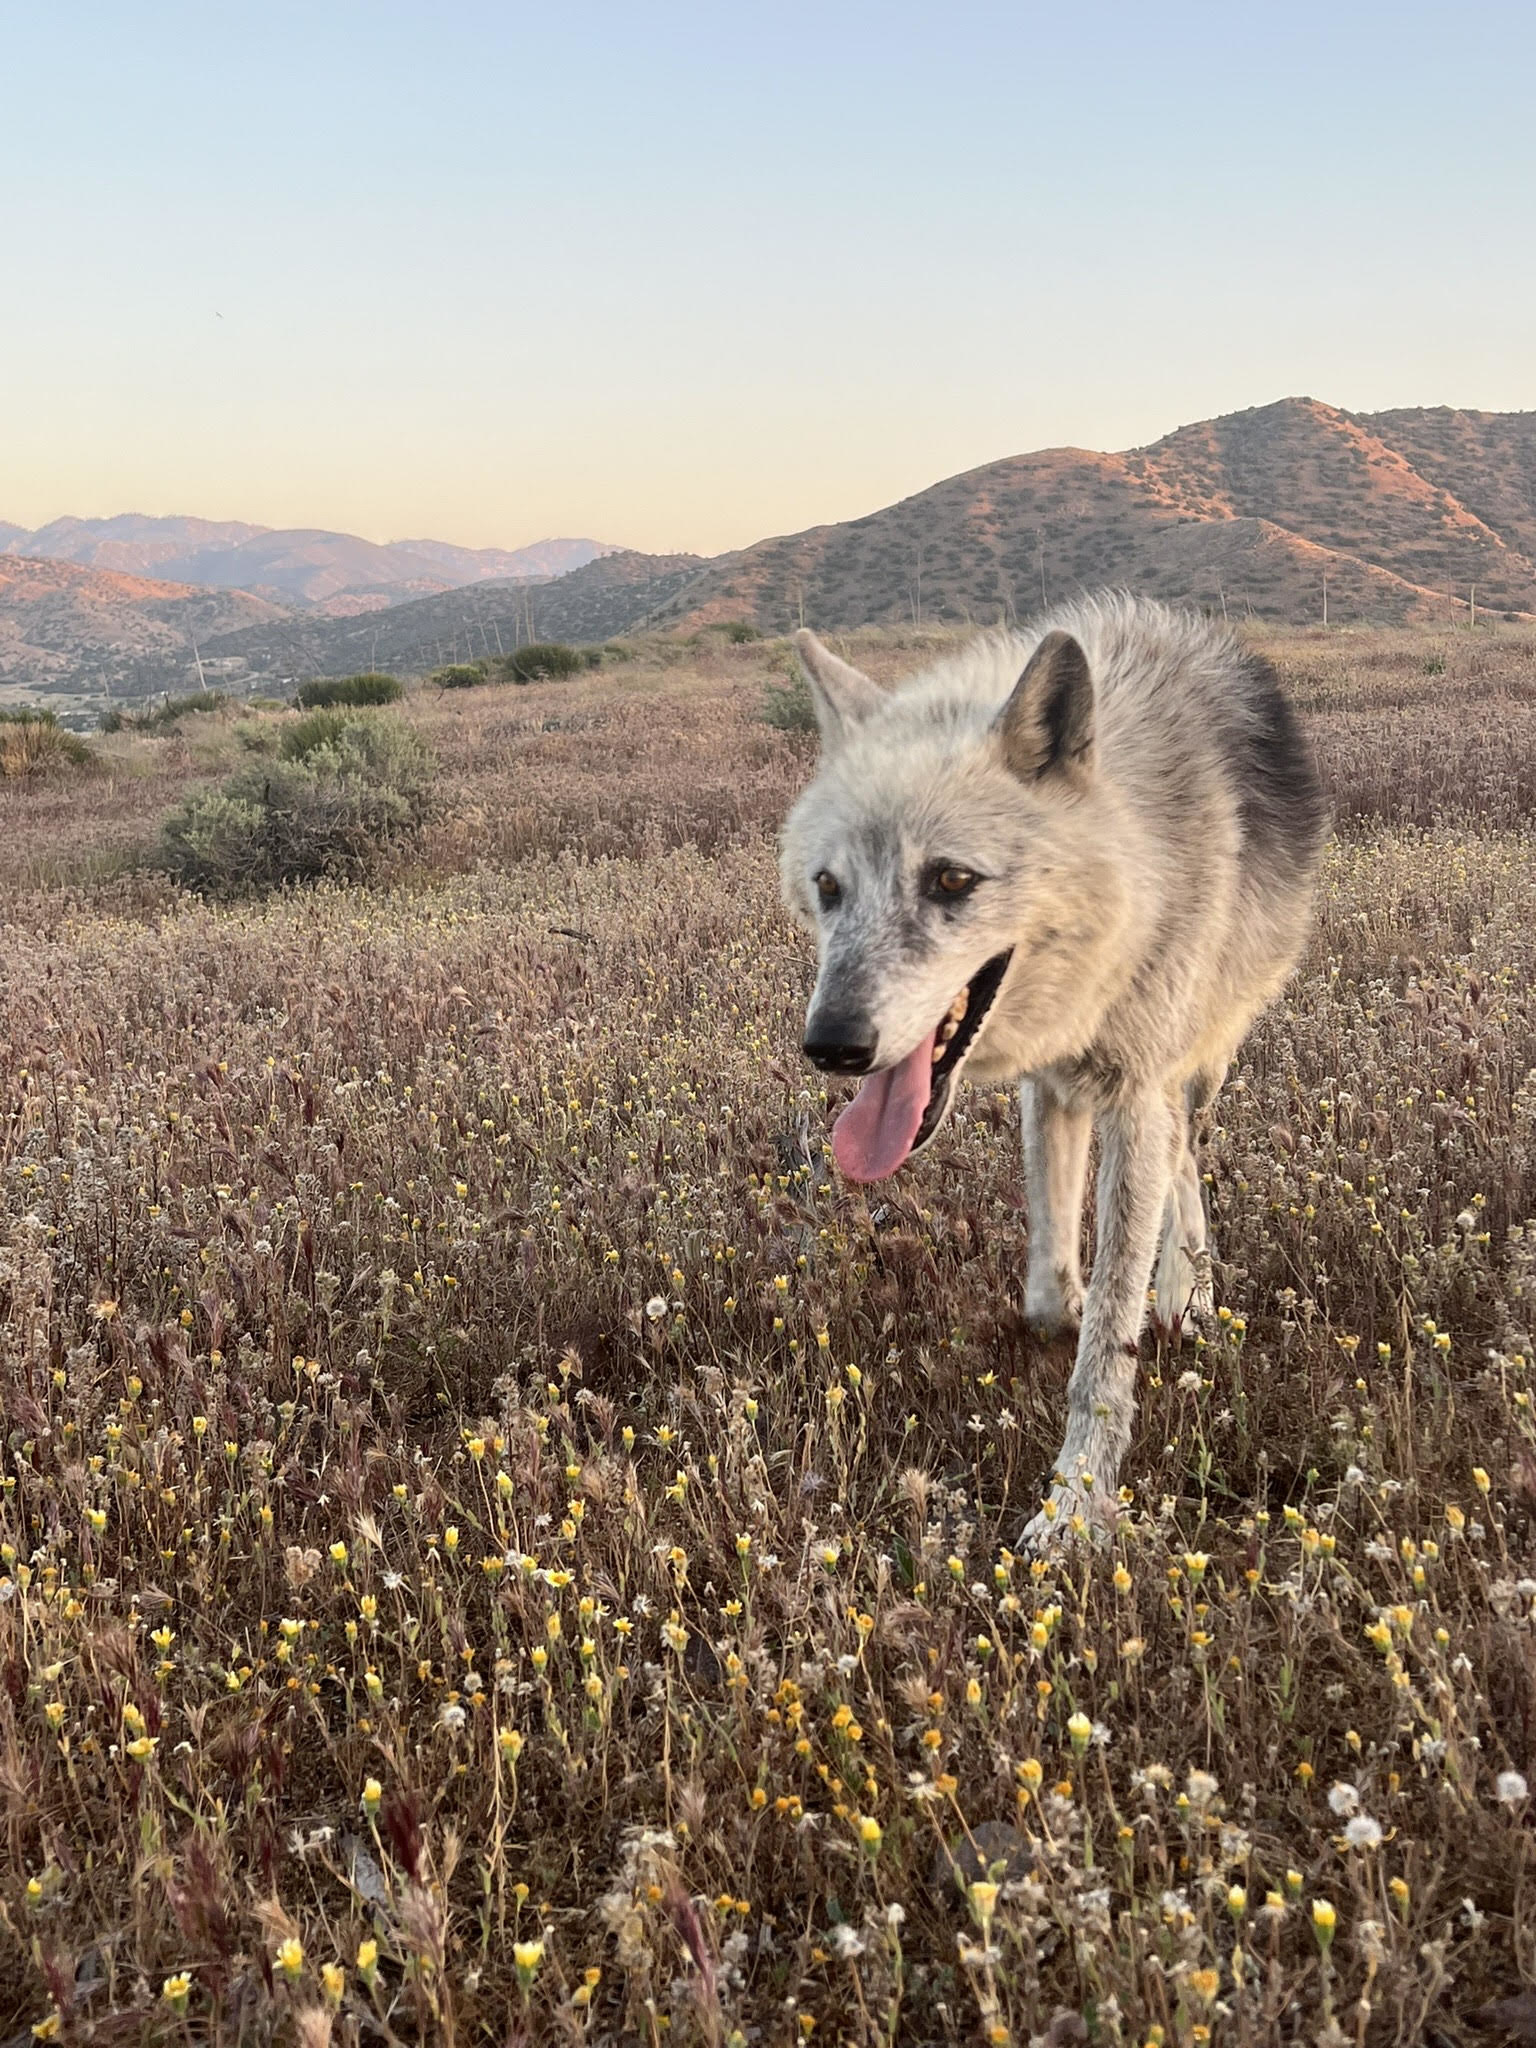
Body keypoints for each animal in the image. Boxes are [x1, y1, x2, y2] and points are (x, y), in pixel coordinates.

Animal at [786, 589, 1327, 1540]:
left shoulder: (1135, 1095)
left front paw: (1077, 1506)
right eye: (828, 888)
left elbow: (1109, 1341)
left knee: (1188, 1159)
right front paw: (1067, 1311)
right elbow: (1050, 1281)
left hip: (1203, 1063)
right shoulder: (1053, 1087)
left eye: (951, 881)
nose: (834, 1046)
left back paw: (1187, 1291)